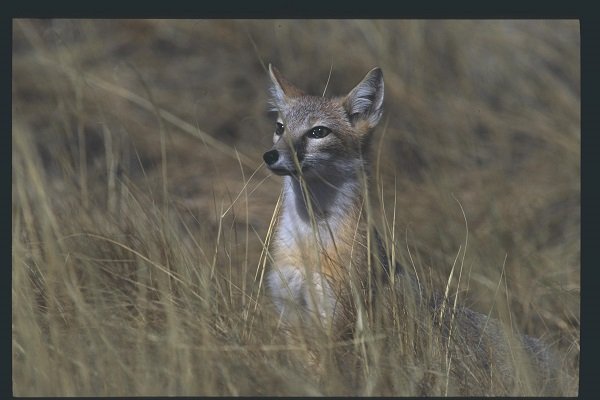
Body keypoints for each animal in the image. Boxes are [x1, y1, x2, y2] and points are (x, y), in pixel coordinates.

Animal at [262, 65, 564, 394]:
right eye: (280, 128)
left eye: (318, 132)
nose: (270, 155)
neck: (307, 240)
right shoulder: (289, 313)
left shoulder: (337, 319)